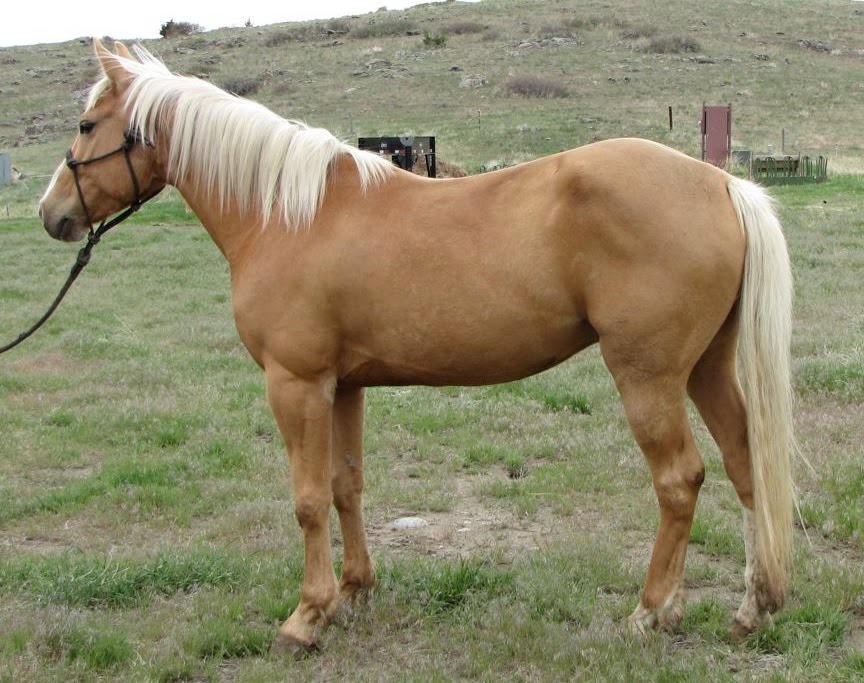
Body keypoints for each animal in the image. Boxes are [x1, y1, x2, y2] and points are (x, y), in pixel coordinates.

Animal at [38, 39, 795, 649]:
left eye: (86, 124)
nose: (53, 215)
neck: (289, 213)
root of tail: (722, 183)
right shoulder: (343, 386)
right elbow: (345, 486)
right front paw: (353, 592)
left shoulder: (296, 383)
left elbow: (307, 497)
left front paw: (306, 616)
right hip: (707, 368)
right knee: (745, 464)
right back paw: (754, 606)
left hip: (648, 376)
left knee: (680, 480)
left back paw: (652, 611)